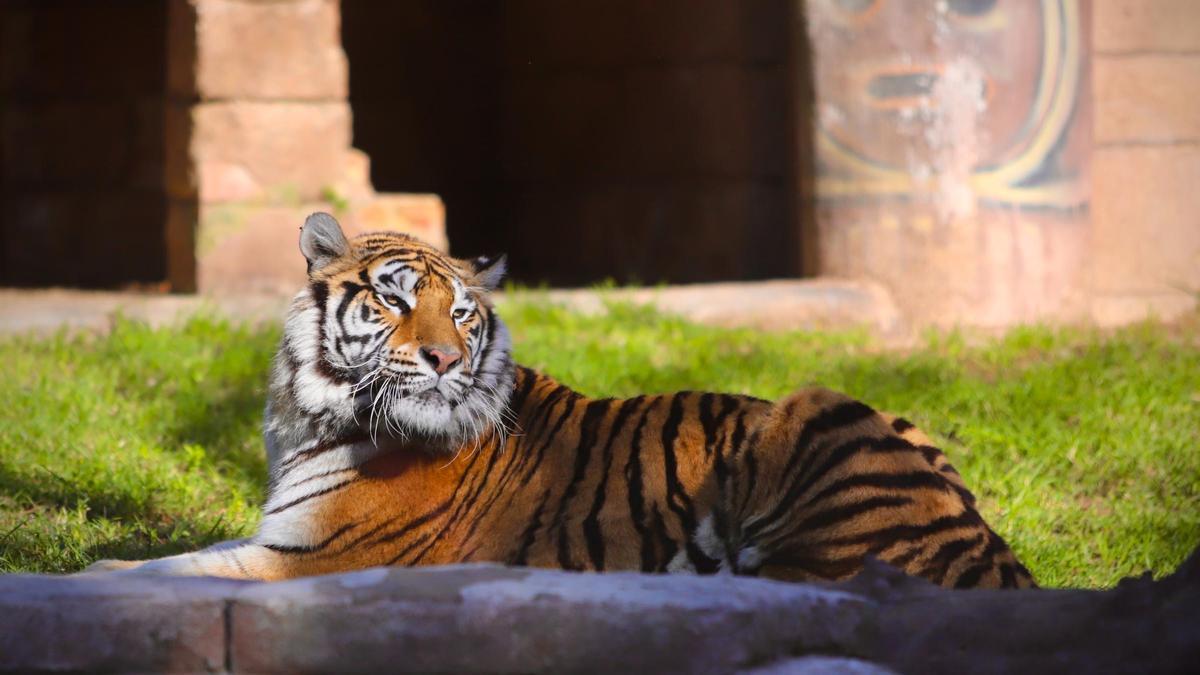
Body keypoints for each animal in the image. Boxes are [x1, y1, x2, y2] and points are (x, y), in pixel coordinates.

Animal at [88, 211, 1036, 588]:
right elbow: (177, 553)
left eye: (460, 311)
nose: (443, 358)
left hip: (811, 416)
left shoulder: (316, 559)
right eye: (393, 300)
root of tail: (985, 543)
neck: (306, 409)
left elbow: (171, 571)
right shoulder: (279, 536)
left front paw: (85, 573)